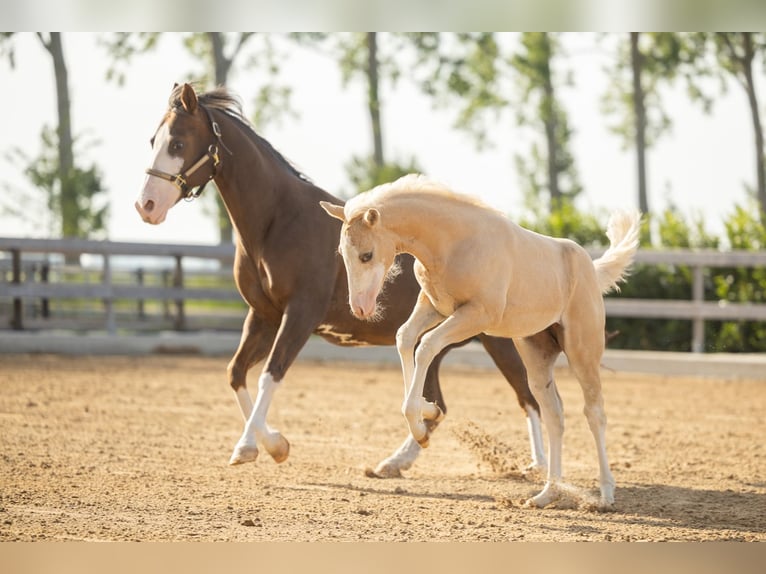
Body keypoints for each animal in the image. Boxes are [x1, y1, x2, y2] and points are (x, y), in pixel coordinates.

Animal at [135, 83, 548, 477]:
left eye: (177, 142)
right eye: (152, 141)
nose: (146, 206)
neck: (278, 224)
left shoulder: (299, 315)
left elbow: (271, 374)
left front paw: (264, 446)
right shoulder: (263, 316)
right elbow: (235, 373)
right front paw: (259, 446)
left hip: (497, 339)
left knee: (527, 396)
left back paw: (539, 467)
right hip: (441, 340)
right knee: (439, 405)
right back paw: (394, 462)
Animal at [321, 174, 641, 510]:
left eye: (366, 255)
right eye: (343, 255)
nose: (360, 308)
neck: (453, 242)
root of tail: (591, 268)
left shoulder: (476, 315)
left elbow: (427, 346)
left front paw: (422, 427)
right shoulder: (433, 307)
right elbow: (405, 339)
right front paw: (428, 411)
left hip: (582, 351)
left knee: (594, 412)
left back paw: (605, 494)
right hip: (535, 352)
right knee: (554, 413)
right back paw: (547, 494)